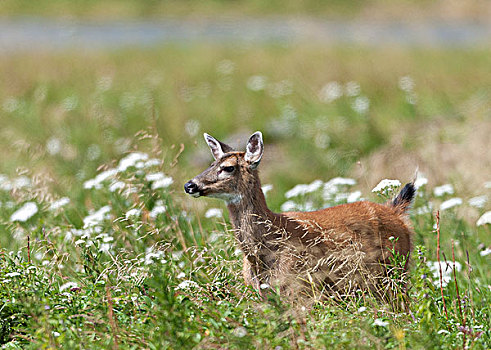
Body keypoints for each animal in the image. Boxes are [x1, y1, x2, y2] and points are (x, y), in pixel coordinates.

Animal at [184, 131, 416, 300]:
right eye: (210, 164)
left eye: (228, 168)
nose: (189, 185)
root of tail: (396, 212)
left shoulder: (298, 287)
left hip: (395, 272)